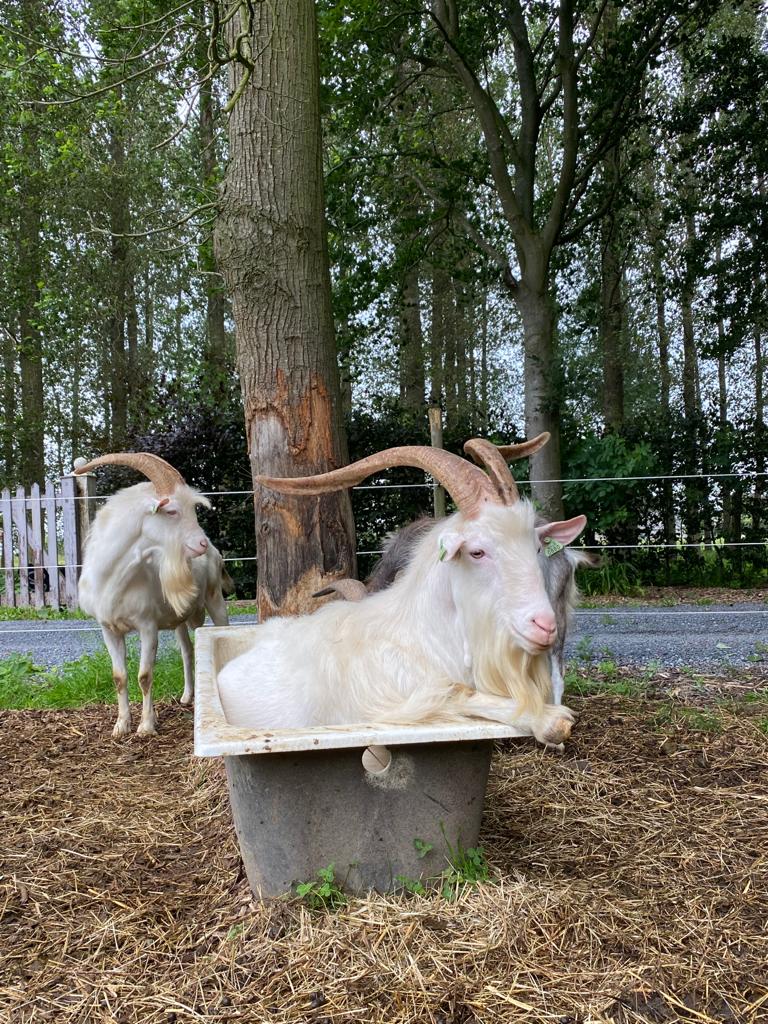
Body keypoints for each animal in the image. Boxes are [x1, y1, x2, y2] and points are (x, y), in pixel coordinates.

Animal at [74, 452, 230, 738]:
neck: (113, 578)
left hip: (215, 600)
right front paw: (121, 725)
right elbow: (119, 676)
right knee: (187, 651)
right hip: (179, 618)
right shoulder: (108, 629)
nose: (201, 544)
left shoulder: (147, 626)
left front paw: (146, 726)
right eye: (172, 511)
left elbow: (144, 675)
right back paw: (187, 696)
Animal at [217, 442, 588, 746]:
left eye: (536, 546)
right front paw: (551, 719)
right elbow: (457, 695)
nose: (544, 625)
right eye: (478, 552)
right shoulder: (394, 701)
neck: (421, 638)